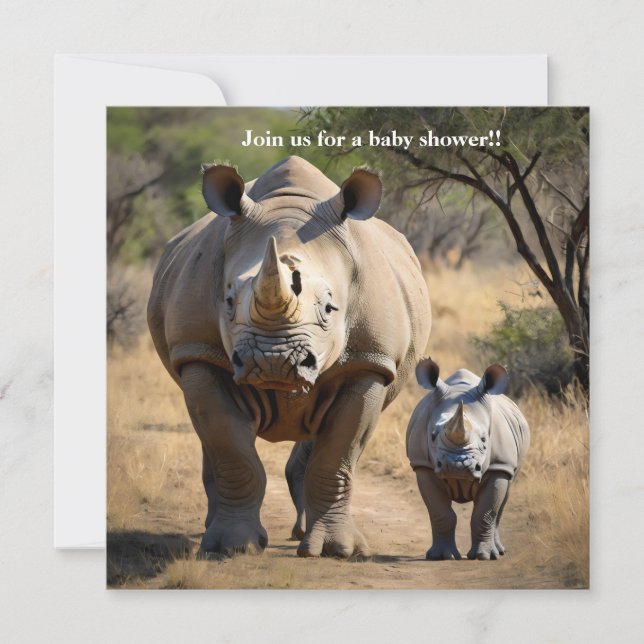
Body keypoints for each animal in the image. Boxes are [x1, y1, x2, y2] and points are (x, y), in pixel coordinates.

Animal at [148, 156, 431, 558]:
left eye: (330, 308)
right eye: (228, 301)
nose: (273, 361)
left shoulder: (370, 361)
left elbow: (337, 456)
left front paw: (337, 551)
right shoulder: (197, 353)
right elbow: (232, 452)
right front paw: (232, 547)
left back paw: (302, 534)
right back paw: (214, 530)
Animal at [406, 358, 530, 560]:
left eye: (484, 439)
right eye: (432, 436)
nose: (456, 465)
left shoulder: (500, 466)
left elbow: (486, 513)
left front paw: (484, 557)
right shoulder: (423, 466)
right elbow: (440, 513)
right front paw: (442, 556)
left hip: (510, 466)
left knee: (502, 503)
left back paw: (499, 551)